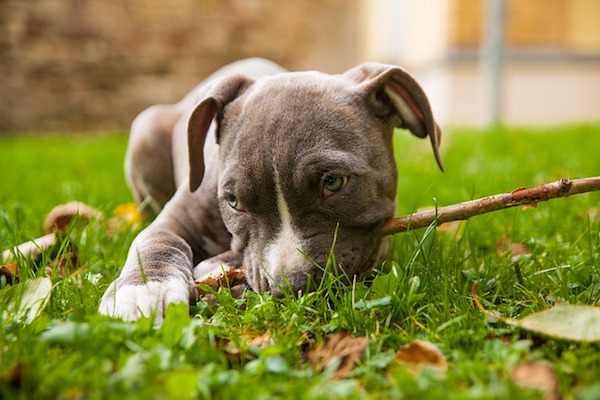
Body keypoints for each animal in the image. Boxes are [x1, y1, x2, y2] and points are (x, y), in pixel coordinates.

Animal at [98, 57, 442, 324]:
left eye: (333, 182)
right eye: (233, 201)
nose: (289, 287)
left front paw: (220, 269)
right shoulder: (177, 218)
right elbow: (155, 240)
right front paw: (143, 289)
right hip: (146, 127)